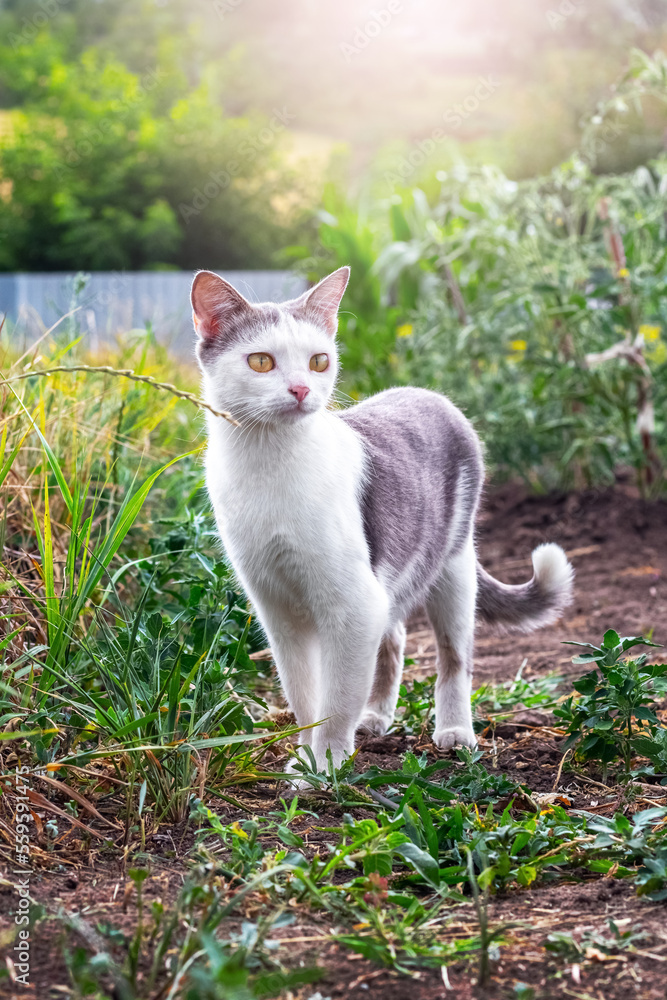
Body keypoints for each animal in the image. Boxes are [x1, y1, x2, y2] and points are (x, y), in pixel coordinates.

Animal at [192, 264, 576, 772]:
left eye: (319, 361)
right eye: (260, 362)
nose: (301, 389)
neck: (268, 466)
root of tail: (429, 394)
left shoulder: (354, 604)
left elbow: (336, 701)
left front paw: (326, 765)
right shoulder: (277, 609)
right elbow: (304, 697)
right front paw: (304, 756)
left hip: (452, 566)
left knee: (453, 657)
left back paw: (455, 730)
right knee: (392, 640)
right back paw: (375, 716)